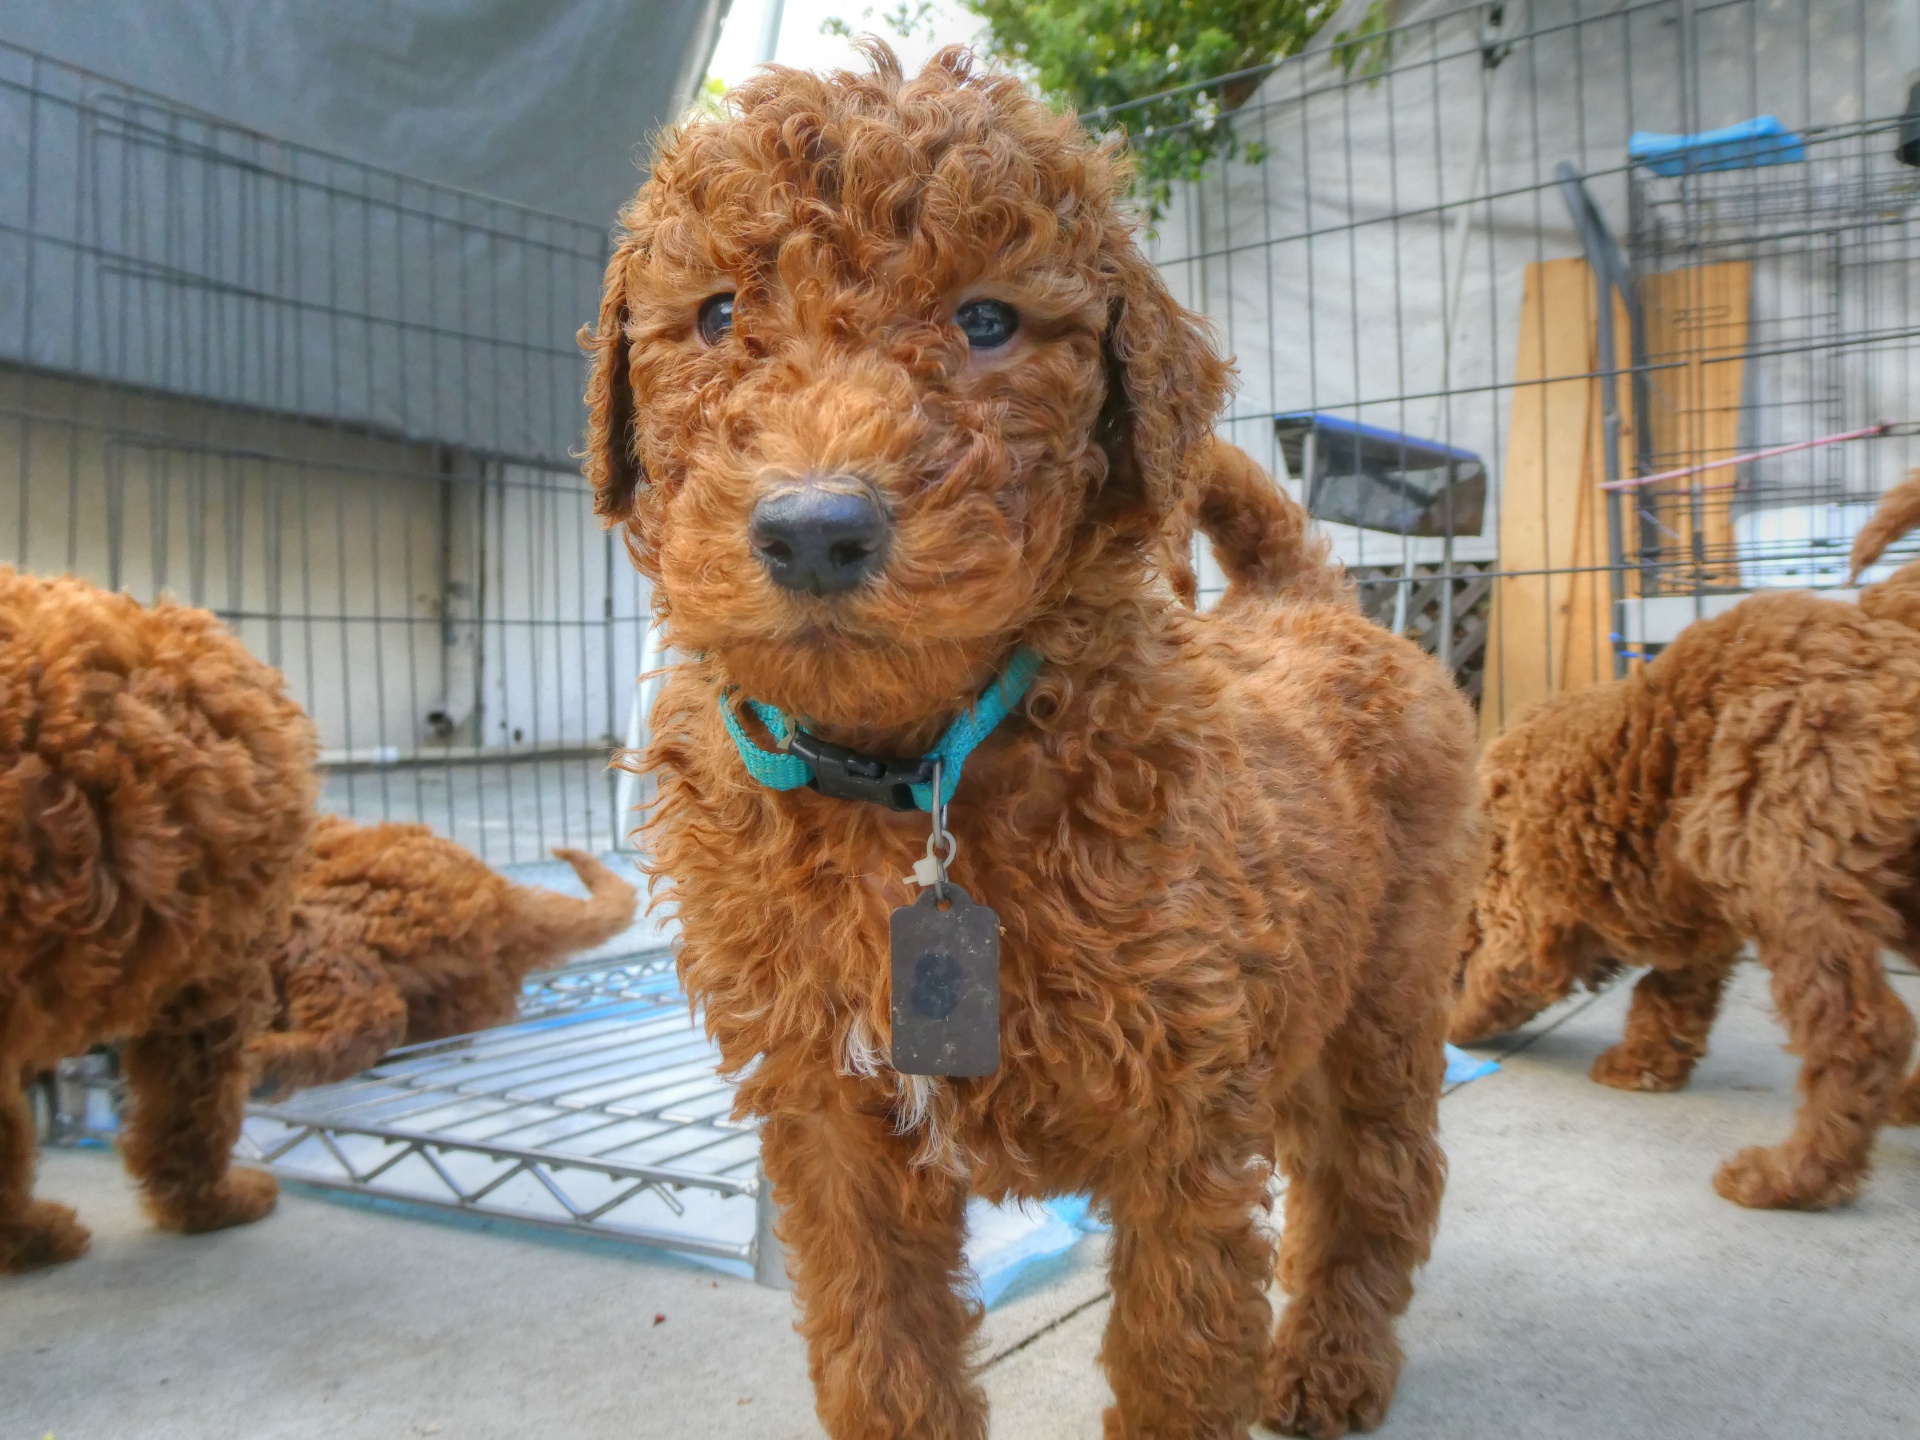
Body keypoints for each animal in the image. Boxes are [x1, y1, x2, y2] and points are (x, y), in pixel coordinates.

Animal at [576, 48, 1474, 1440]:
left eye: (988, 322)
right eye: (718, 316)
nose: (814, 530)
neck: (909, 776)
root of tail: (1303, 603)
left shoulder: (1184, 1112)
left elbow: (1174, 1364)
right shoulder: (834, 1120)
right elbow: (882, 1353)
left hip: (1385, 989)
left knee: (1378, 1176)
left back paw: (1328, 1366)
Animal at [1443, 470, 1920, 1205]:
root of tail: (1887, 626)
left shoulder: (1525, 913)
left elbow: (1500, 979)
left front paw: (1450, 1024)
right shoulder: (1699, 918)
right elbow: (1669, 990)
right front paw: (1641, 1063)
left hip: (1788, 873)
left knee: (1862, 1032)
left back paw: (1789, 1177)